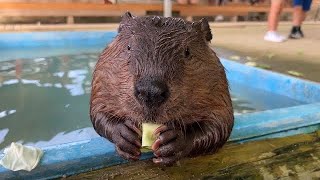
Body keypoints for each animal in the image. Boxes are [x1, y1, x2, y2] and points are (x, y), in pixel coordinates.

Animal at [89, 11, 234, 165]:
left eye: (187, 51)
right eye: (128, 47)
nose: (150, 92)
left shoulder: (219, 88)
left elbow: (221, 123)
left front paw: (174, 140)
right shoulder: (101, 81)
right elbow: (98, 111)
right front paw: (125, 134)